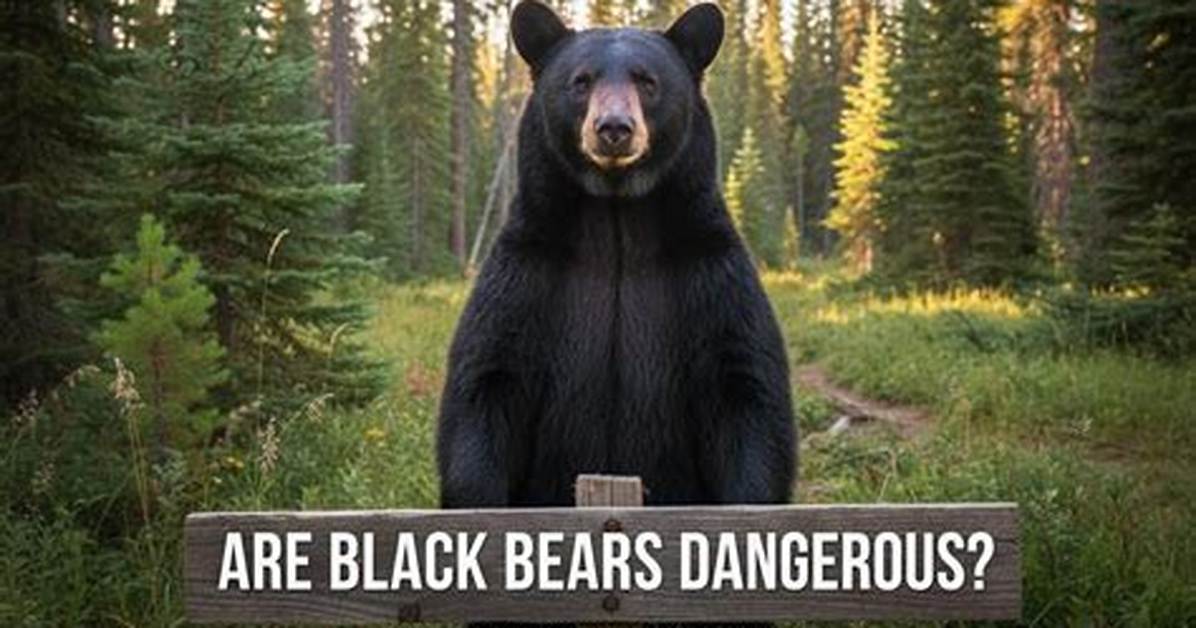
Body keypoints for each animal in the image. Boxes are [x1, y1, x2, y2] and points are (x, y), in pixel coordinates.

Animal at [437, 1, 796, 510]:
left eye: (647, 81)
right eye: (581, 80)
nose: (613, 129)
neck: (616, 222)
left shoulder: (710, 273)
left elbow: (746, 391)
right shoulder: (527, 272)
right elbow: (486, 383)